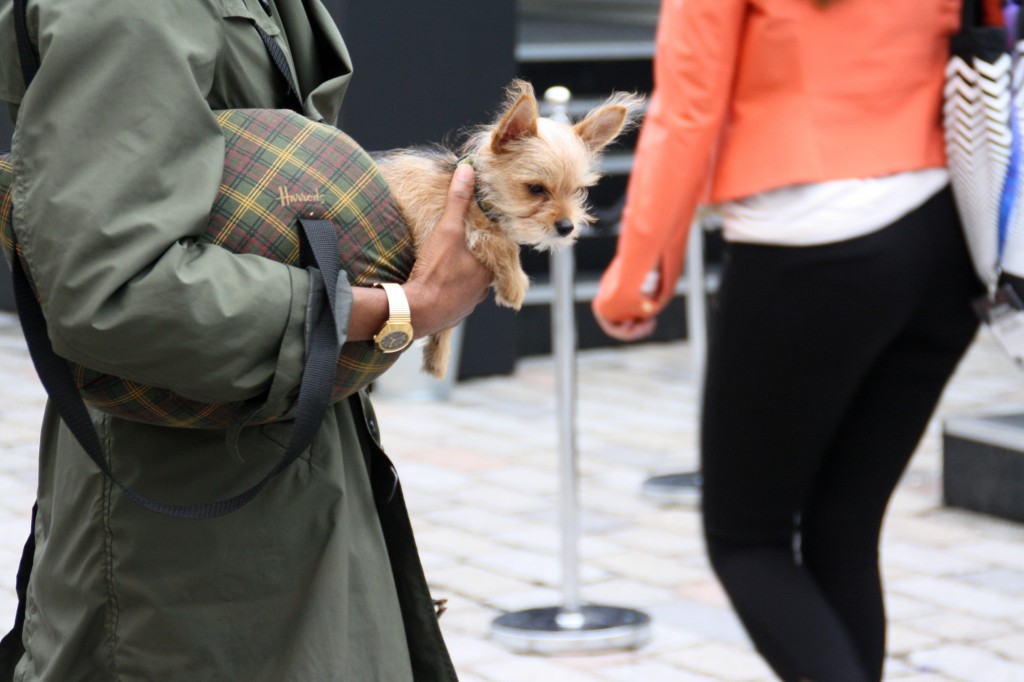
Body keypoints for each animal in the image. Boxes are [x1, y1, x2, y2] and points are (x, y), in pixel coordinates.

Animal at [376, 80, 638, 376]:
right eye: (535, 189)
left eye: (577, 191)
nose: (567, 227)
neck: (476, 198)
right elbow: (503, 243)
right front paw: (514, 284)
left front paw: (437, 358)